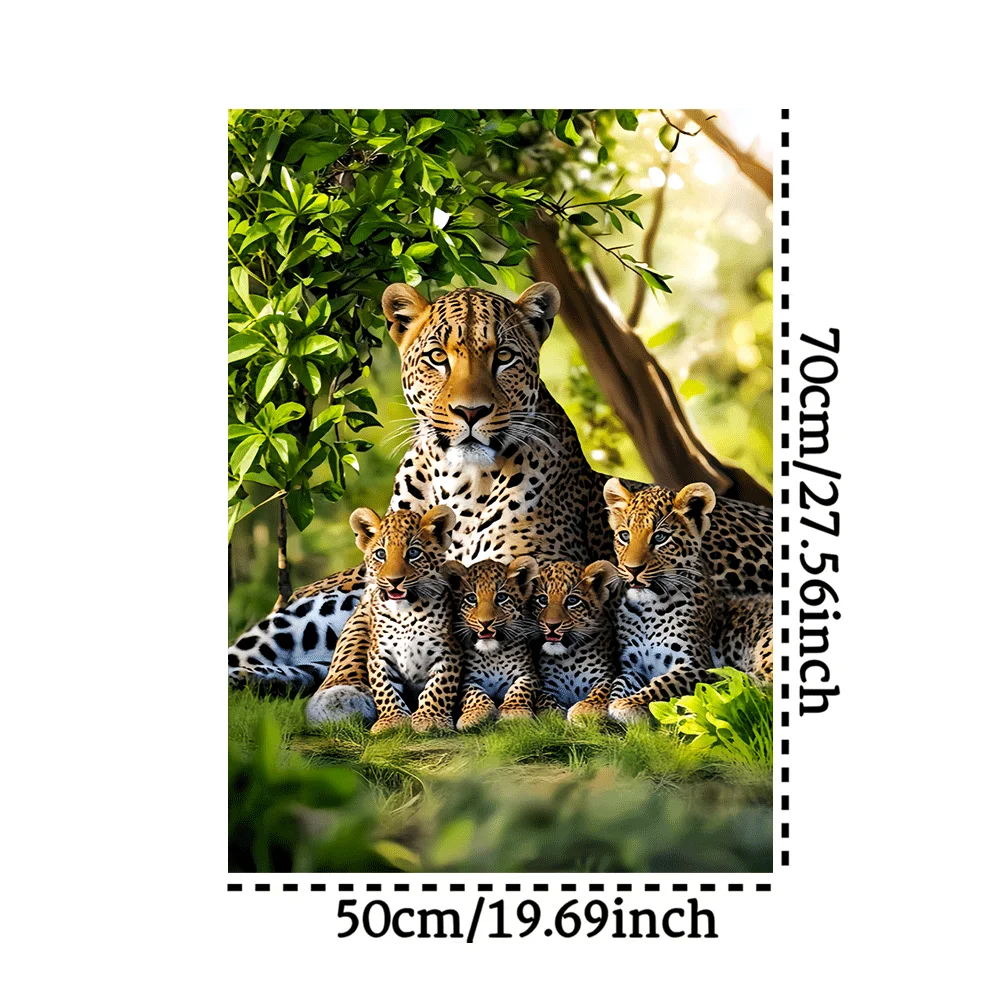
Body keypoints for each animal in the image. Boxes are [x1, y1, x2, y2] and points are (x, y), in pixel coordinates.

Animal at [305, 505, 460, 734]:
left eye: (413, 553)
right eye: (381, 554)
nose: (394, 581)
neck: (406, 615)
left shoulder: (448, 651)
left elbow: (438, 688)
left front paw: (430, 718)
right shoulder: (380, 653)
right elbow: (384, 688)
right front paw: (392, 720)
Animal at [440, 557, 540, 729]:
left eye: (501, 597)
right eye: (471, 598)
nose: (485, 622)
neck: (493, 655)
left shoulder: (529, 674)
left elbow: (520, 688)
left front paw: (514, 711)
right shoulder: (467, 680)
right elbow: (474, 694)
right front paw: (474, 714)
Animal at [527, 559, 620, 722]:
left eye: (572, 600)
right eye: (542, 600)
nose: (552, 625)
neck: (567, 658)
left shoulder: (606, 675)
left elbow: (602, 690)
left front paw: (585, 709)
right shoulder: (549, 685)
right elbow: (543, 699)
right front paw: (552, 714)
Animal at [602, 478, 773, 725]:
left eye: (660, 538)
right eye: (625, 536)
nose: (632, 570)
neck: (647, 609)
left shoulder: (696, 664)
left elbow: (662, 683)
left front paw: (627, 705)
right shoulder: (631, 665)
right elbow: (618, 683)